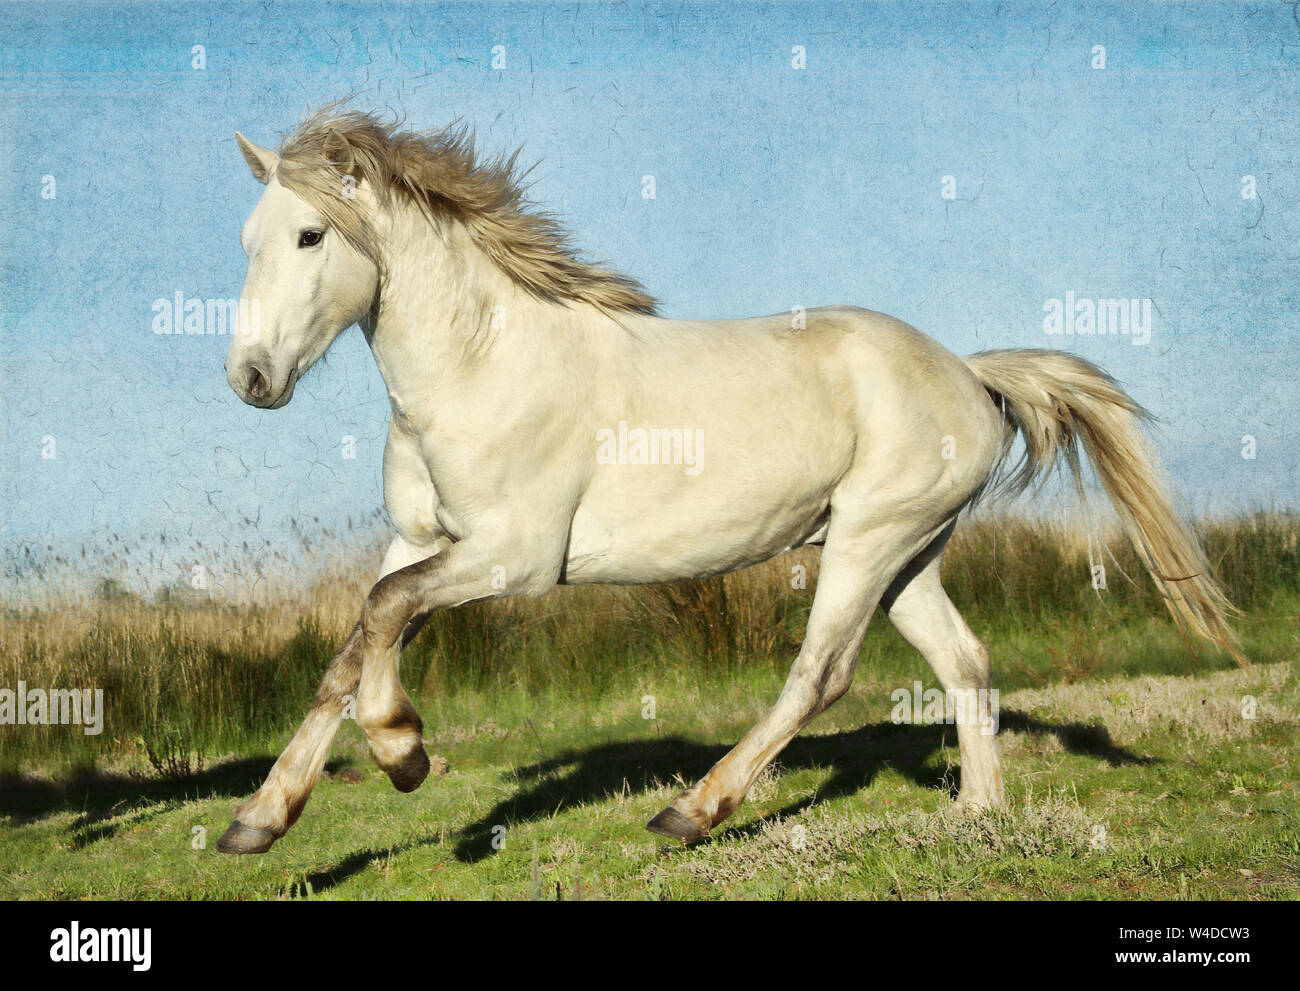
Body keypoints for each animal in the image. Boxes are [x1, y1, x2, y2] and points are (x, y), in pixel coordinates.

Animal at [215, 105, 1237, 847]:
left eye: (310, 236)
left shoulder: (514, 556)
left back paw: (691, 811)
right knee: (966, 661)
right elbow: (350, 647)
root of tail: (968, 373)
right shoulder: (423, 539)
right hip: (909, 555)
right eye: (248, 238)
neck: (481, 363)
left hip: (868, 540)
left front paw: (403, 750)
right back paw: (977, 816)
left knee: (821, 674)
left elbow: (382, 615)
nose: (250, 379)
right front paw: (259, 819)